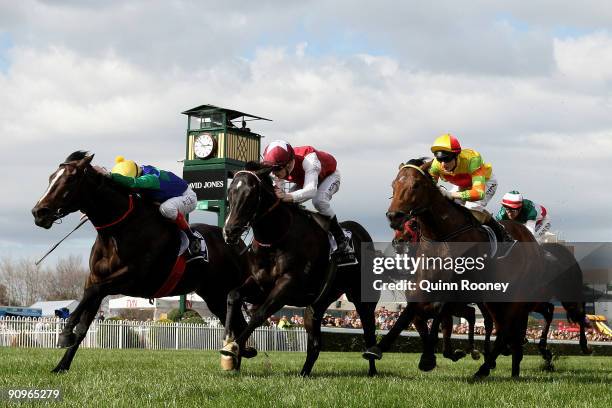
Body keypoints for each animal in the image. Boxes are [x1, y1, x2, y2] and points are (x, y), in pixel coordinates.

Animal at [30, 151, 256, 372]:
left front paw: (64, 333)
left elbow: (92, 292)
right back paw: (237, 361)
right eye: (51, 178)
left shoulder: (133, 278)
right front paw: (61, 366)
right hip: (215, 295)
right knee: (237, 323)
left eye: (69, 179)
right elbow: (84, 321)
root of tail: (237, 243)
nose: (38, 212)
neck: (119, 230)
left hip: (226, 289)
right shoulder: (96, 278)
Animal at [220, 162, 378, 376]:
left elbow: (259, 314)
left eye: (251, 194)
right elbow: (233, 295)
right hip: (316, 306)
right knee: (315, 344)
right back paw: (304, 374)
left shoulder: (287, 286)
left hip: (362, 299)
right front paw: (230, 341)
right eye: (230, 192)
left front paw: (235, 348)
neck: (276, 238)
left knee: (369, 331)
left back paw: (372, 367)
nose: (230, 231)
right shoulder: (259, 284)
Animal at [364, 159, 544, 380]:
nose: (393, 216)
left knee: (504, 330)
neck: (441, 236)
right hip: (494, 299)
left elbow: (440, 315)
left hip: (515, 296)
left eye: (416, 185)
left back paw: (484, 368)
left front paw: (427, 359)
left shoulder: (454, 290)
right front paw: (377, 348)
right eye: (393, 185)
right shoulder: (422, 292)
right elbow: (407, 316)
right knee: (500, 327)